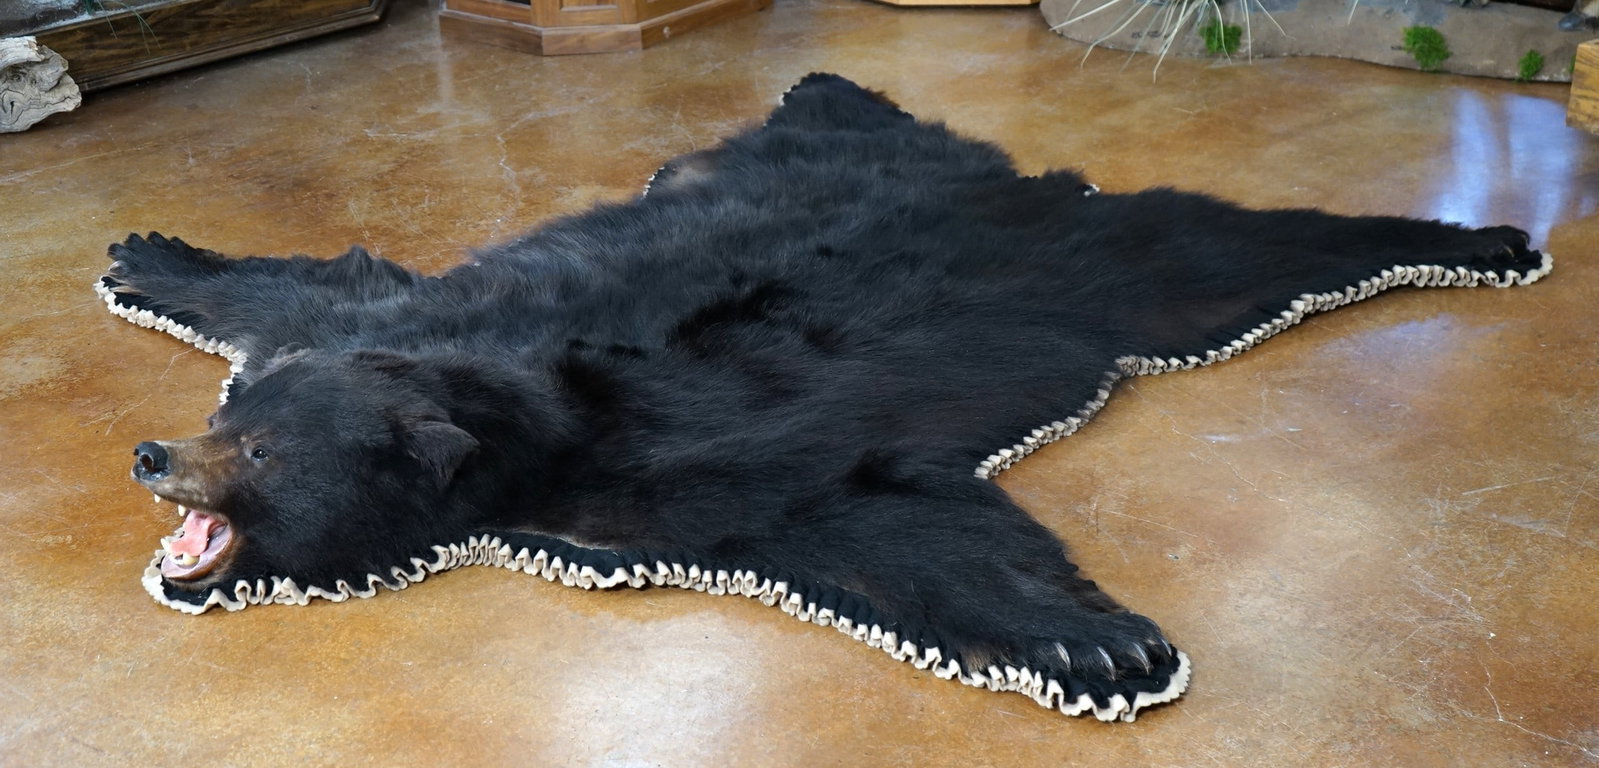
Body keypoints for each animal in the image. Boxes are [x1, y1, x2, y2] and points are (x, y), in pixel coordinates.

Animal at [98, 73, 1551, 723]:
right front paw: (148, 254)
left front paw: (1099, 647)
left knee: (1229, 254)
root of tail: (1024, 185)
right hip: (803, 150)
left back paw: (1481, 239)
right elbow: (313, 285)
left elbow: (858, 510)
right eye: (232, 418)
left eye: (263, 454)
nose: (157, 454)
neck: (494, 412)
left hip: (1122, 271)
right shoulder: (388, 323)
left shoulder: (681, 450)